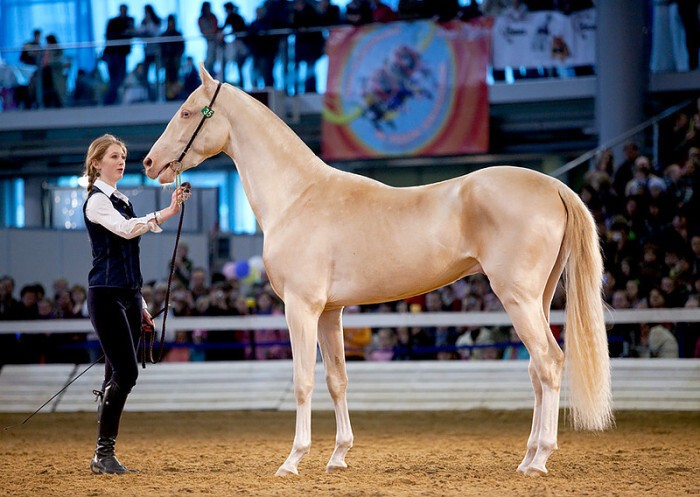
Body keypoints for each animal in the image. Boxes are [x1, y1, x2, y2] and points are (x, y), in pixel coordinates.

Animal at [144, 66, 612, 476]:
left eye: (187, 112)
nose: (149, 163)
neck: (298, 196)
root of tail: (554, 185)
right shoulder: (329, 312)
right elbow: (337, 379)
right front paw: (338, 457)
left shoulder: (301, 308)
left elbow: (302, 381)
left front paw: (292, 460)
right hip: (539, 298)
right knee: (536, 370)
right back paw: (527, 455)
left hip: (518, 298)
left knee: (549, 363)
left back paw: (539, 459)